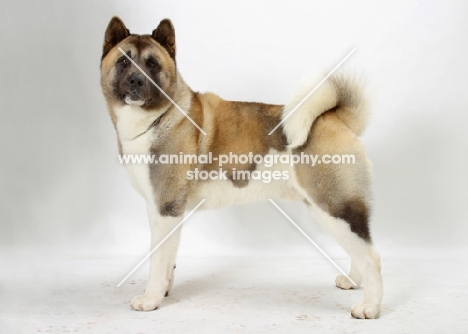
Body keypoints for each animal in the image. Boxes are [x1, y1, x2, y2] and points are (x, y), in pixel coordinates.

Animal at [100, 16, 382, 318]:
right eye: (123, 61)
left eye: (152, 64)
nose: (136, 80)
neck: (158, 119)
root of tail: (334, 117)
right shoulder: (164, 211)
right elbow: (168, 260)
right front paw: (164, 290)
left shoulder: (165, 209)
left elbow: (157, 260)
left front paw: (151, 299)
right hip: (325, 207)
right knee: (359, 249)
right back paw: (353, 282)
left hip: (334, 205)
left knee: (371, 255)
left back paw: (370, 306)